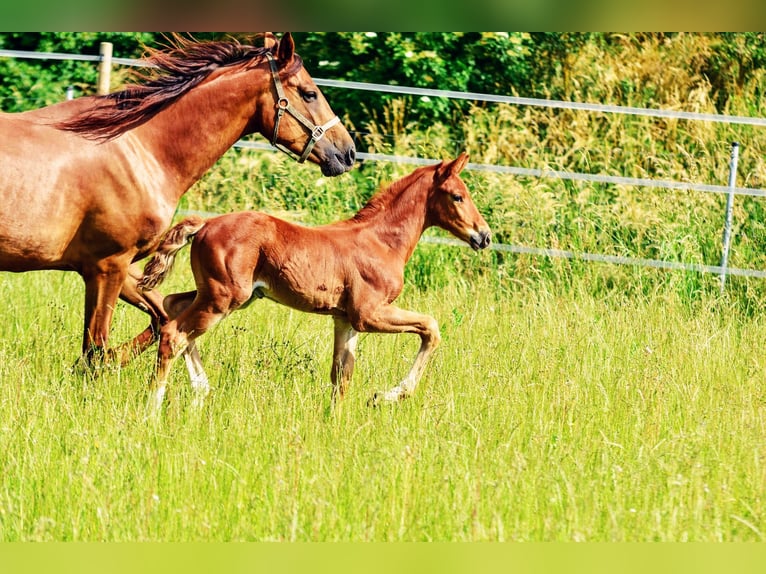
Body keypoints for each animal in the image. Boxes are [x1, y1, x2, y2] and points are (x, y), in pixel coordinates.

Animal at [0, 33, 356, 367]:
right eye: (309, 93)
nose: (348, 152)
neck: (141, 149)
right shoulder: (107, 266)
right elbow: (95, 351)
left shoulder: (120, 266)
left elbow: (160, 316)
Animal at [138, 152, 491, 413]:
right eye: (458, 196)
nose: (484, 236)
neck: (381, 241)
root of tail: (205, 224)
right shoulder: (368, 314)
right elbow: (431, 327)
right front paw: (387, 396)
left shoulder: (344, 319)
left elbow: (341, 376)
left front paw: (334, 425)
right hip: (223, 298)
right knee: (174, 334)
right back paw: (153, 411)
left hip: (222, 295)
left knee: (172, 305)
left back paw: (200, 389)